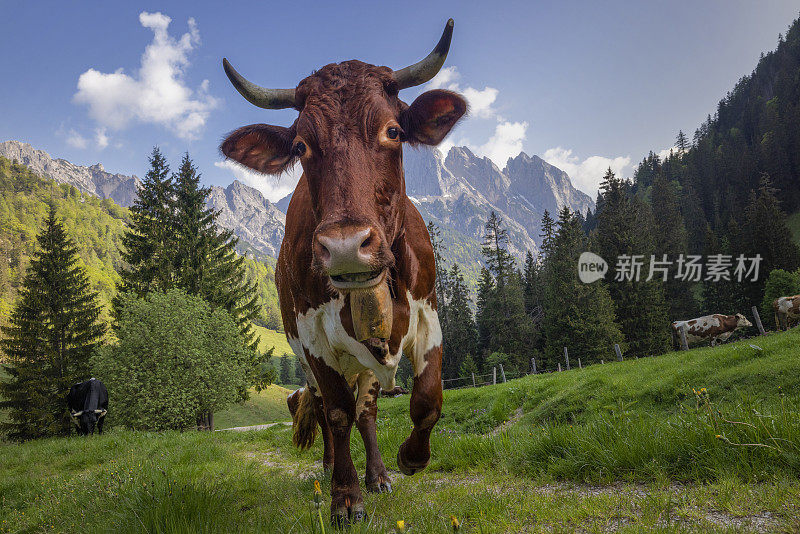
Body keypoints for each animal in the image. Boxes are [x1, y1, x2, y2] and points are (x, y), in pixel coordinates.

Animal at [220, 21, 468, 528]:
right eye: (301, 145)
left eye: (393, 130)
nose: (346, 246)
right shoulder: (313, 336)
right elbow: (335, 414)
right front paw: (345, 498)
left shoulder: (428, 314)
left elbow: (427, 399)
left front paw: (409, 458)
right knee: (328, 410)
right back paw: (335, 468)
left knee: (368, 411)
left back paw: (379, 476)